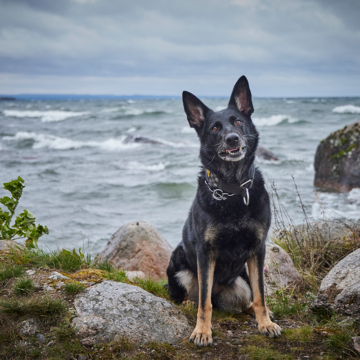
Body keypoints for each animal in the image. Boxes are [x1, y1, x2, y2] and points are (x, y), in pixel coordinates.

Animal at [167, 75, 282, 346]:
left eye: (238, 121)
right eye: (214, 128)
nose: (232, 139)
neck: (233, 190)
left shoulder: (257, 249)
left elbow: (261, 295)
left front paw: (265, 323)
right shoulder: (205, 253)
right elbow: (204, 303)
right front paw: (202, 331)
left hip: (242, 278)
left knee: (247, 299)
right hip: (178, 263)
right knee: (197, 296)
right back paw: (188, 304)